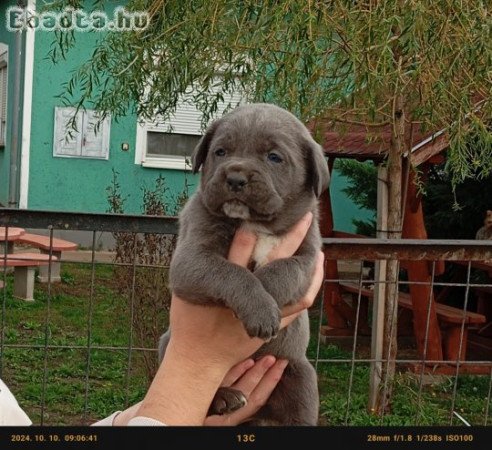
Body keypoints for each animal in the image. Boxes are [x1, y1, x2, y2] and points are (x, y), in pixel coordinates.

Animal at [160, 103, 328, 426]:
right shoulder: (191, 259)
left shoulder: (309, 259)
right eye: (220, 152)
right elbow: (231, 271)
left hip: (301, 376)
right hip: (166, 344)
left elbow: (283, 269)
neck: (256, 224)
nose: (235, 178)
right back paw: (224, 397)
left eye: (274, 157)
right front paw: (261, 308)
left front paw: (268, 299)